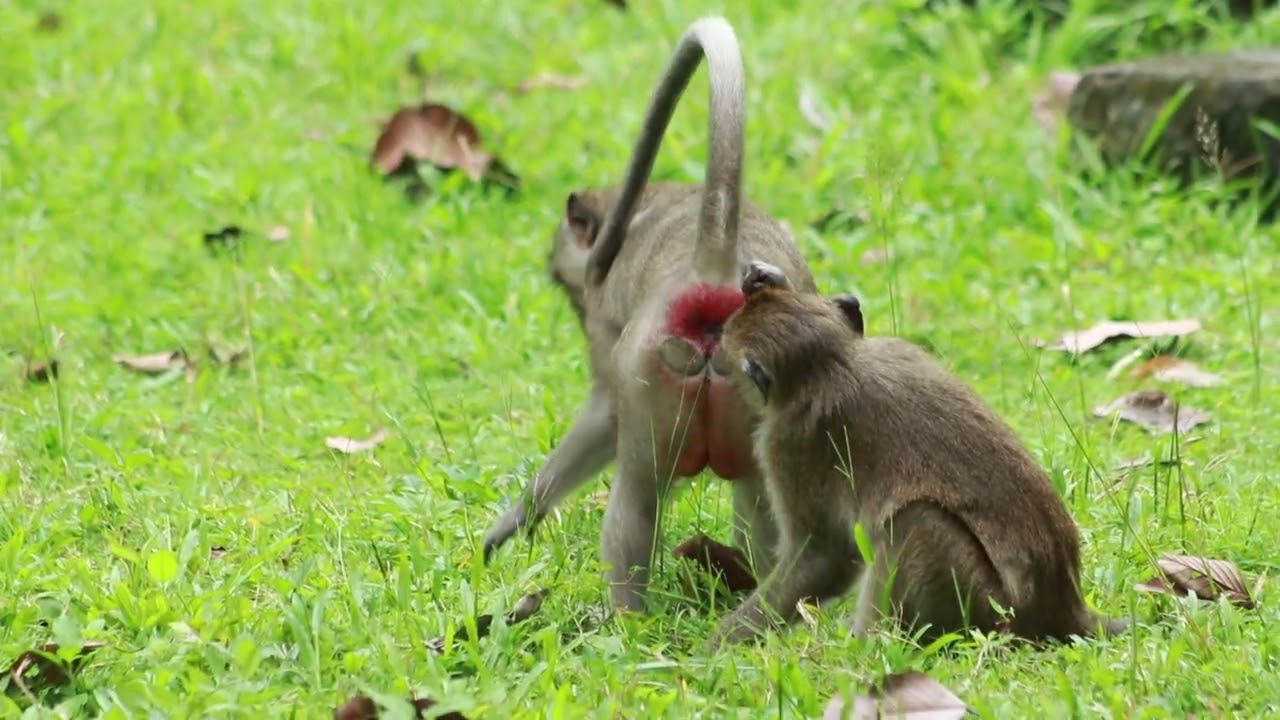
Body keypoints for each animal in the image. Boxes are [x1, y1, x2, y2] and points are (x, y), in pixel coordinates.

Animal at [481, 17, 817, 612]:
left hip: (650, 374)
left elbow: (600, 416)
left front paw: (517, 519)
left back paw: (626, 617)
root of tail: (713, 264)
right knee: (759, 501)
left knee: (636, 498)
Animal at [709, 260, 1126, 647]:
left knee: (917, 520)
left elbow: (824, 558)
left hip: (989, 607)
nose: (714, 359)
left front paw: (717, 646)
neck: (832, 364)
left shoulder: (788, 444)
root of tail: (1064, 613)